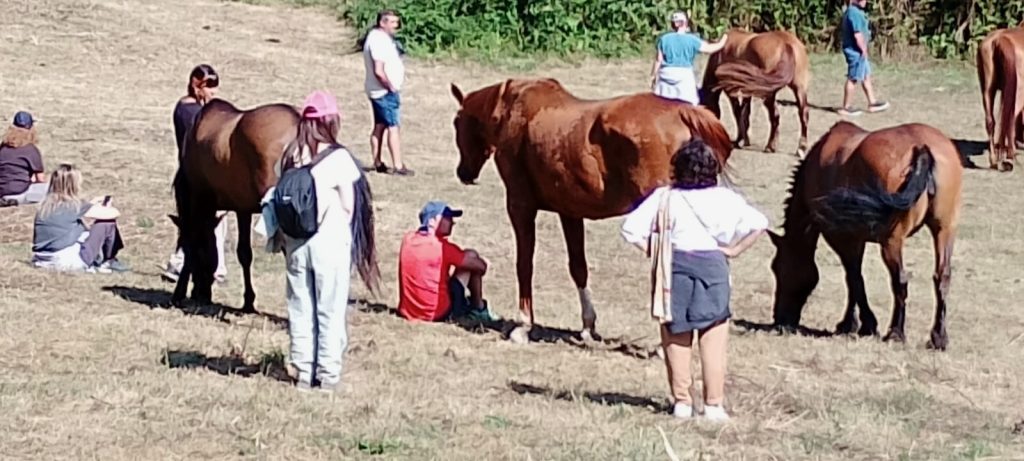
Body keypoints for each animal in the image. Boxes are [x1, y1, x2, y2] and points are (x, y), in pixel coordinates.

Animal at [171, 98, 381, 311]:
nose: (201, 292)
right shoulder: (242, 208)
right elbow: (244, 253)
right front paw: (248, 300)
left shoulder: (198, 198)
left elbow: (194, 242)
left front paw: (180, 292)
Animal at [449, 78, 733, 344]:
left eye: (456, 123)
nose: (463, 173)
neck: (513, 108)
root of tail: (681, 112)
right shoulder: (570, 212)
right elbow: (578, 267)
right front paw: (587, 326)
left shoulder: (520, 207)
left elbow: (524, 264)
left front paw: (523, 326)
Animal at [700, 28, 811, 157]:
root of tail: (786, 44)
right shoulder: (747, 90)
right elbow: (745, 112)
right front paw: (745, 139)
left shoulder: (731, 90)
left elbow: (738, 112)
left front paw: (740, 140)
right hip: (799, 88)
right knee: (803, 114)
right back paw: (801, 148)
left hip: (769, 93)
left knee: (775, 116)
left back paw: (770, 146)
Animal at [768, 121, 962, 351]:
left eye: (778, 268)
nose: (779, 319)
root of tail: (921, 148)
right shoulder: (856, 239)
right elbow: (854, 278)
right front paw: (854, 324)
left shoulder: (841, 238)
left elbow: (854, 278)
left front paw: (861, 324)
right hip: (944, 230)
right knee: (942, 277)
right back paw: (939, 337)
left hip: (892, 241)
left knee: (900, 281)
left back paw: (896, 333)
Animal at [977, 26, 1024, 171]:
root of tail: (1000, 39)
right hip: (1019, 92)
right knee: (1011, 119)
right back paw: (1010, 157)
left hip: (987, 90)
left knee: (990, 122)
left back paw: (994, 160)